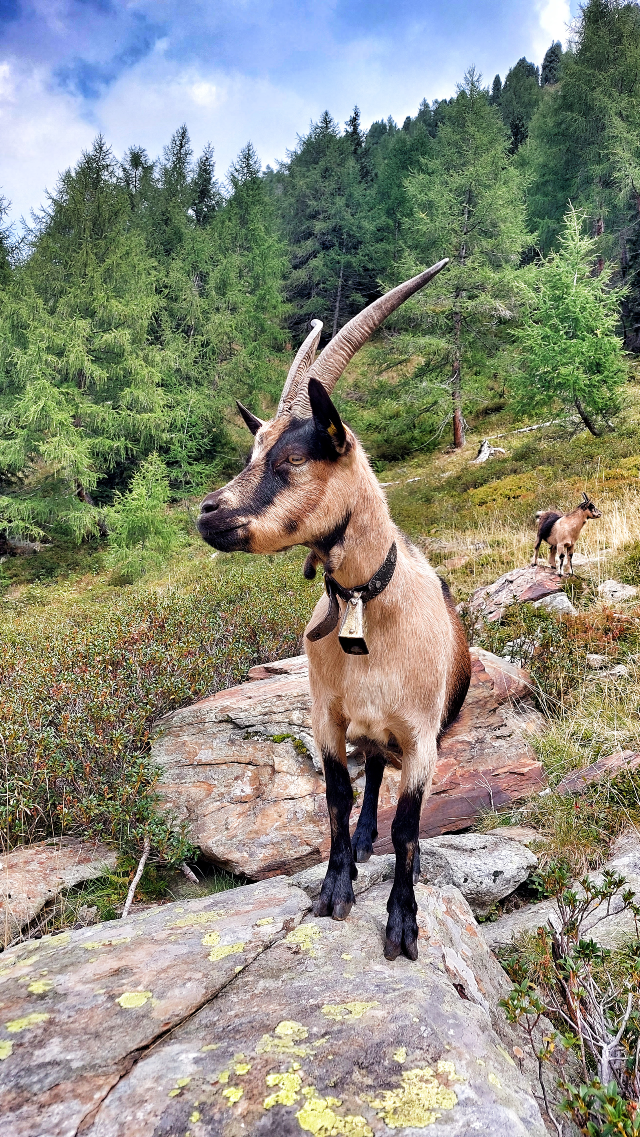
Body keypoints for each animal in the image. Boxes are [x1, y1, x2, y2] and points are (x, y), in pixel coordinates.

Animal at [197, 263, 472, 959]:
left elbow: (409, 827)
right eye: (252, 452)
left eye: (294, 458)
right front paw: (335, 887)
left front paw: (402, 923)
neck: (369, 615)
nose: (208, 514)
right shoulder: (327, 715)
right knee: (370, 773)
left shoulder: (422, 738)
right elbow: (337, 797)